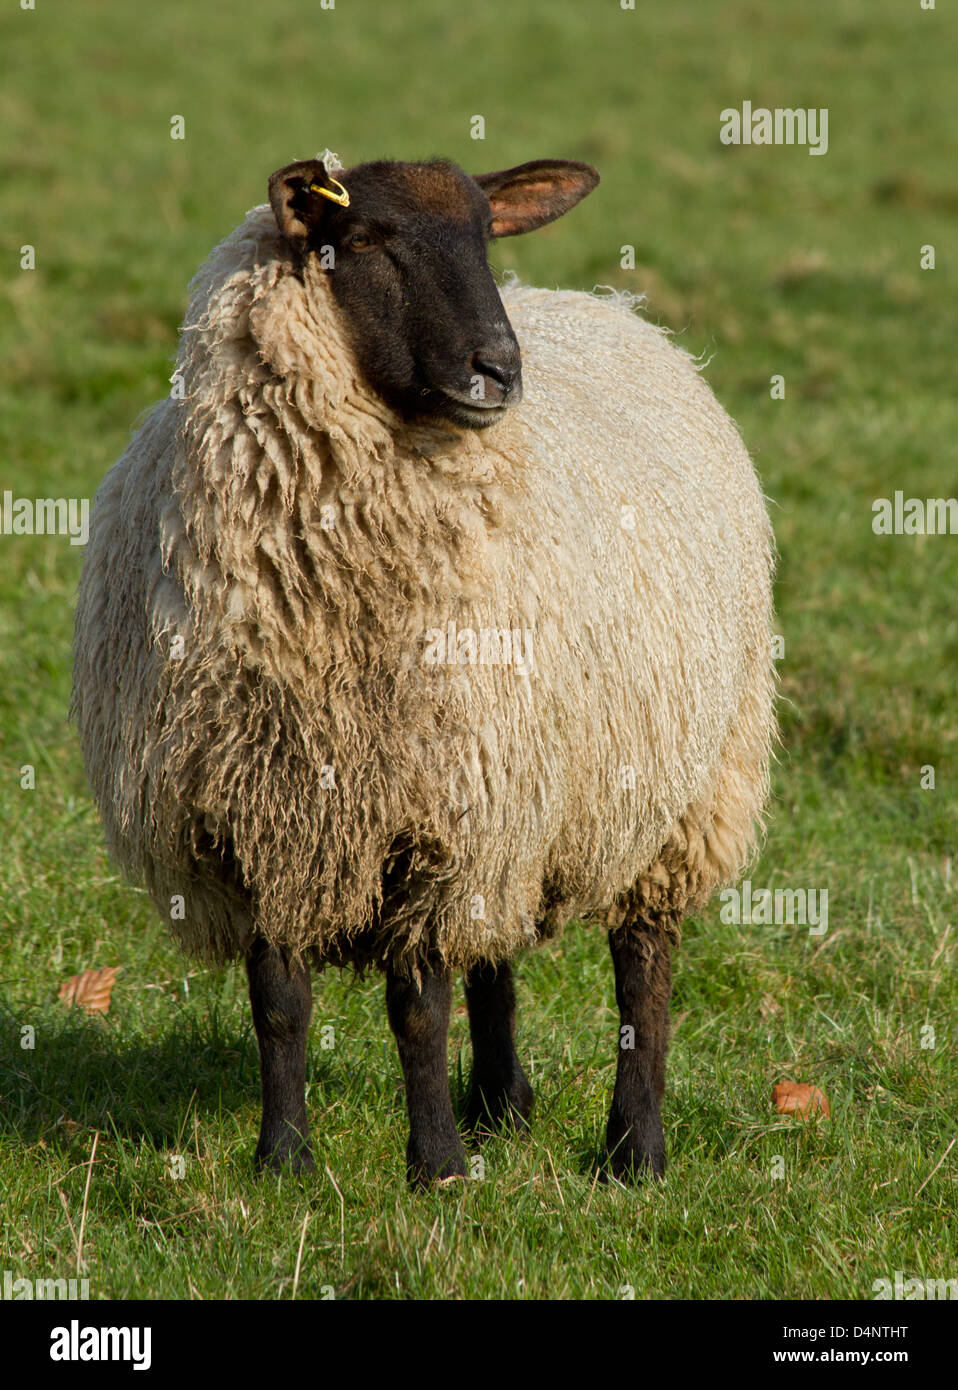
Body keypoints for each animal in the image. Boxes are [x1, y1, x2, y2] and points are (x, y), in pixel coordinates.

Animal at [72, 152, 776, 1187]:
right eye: (365, 240)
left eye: (485, 232)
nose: (500, 369)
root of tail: (610, 309)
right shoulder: (259, 811)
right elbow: (278, 1001)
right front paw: (283, 1161)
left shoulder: (433, 811)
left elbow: (418, 1006)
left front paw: (435, 1164)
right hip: (518, 790)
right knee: (495, 945)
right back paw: (501, 1104)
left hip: (679, 782)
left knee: (643, 962)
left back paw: (633, 1149)